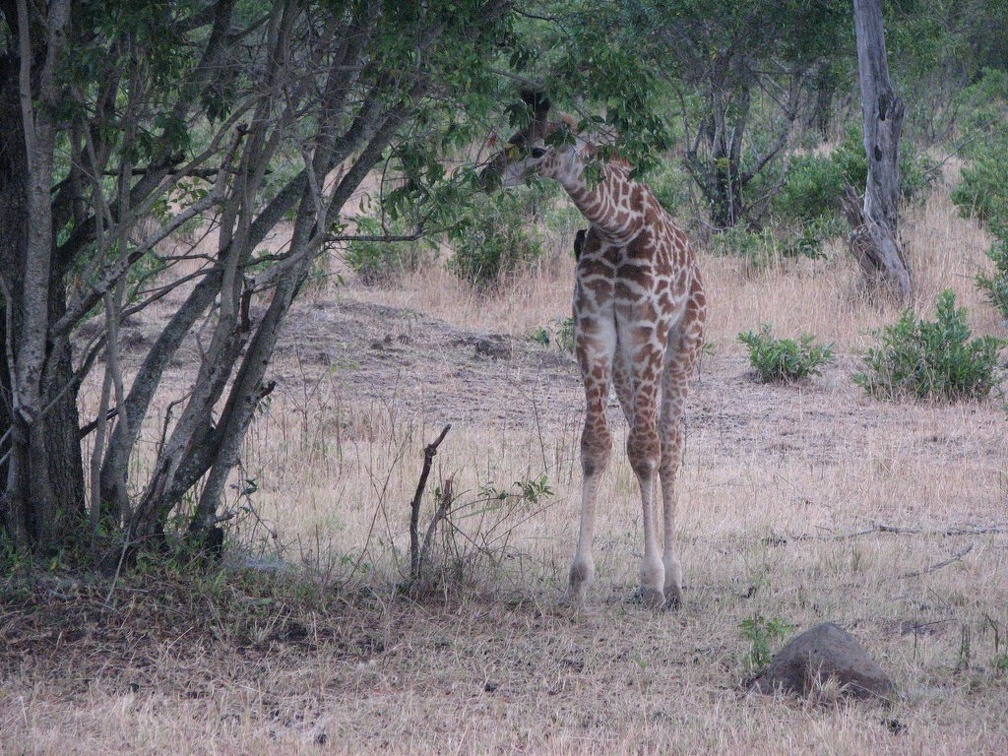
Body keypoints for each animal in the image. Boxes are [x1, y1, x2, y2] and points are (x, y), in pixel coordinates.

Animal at [481, 93, 709, 608]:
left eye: (537, 148)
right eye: (514, 135)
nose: (486, 177)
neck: (620, 228)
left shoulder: (647, 330)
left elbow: (645, 451)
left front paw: (652, 580)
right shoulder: (594, 330)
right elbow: (596, 447)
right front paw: (579, 579)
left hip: (683, 344)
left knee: (670, 445)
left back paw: (675, 580)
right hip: (625, 364)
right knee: (649, 437)